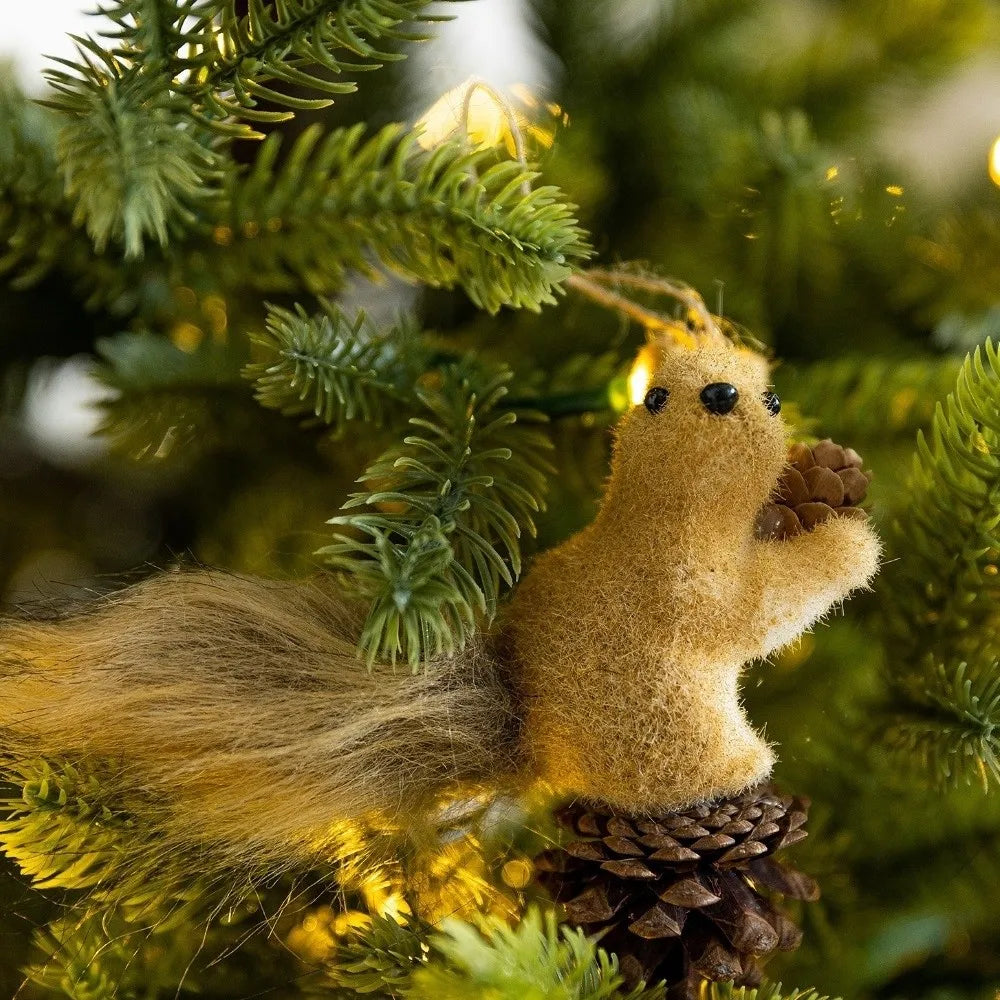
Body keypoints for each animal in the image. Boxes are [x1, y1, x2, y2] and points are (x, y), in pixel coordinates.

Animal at [0, 343, 879, 868]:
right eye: (723, 397)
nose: (775, 400)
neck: (648, 510)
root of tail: (537, 751)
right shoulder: (685, 583)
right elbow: (760, 607)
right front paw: (849, 543)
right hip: (679, 738)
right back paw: (742, 776)